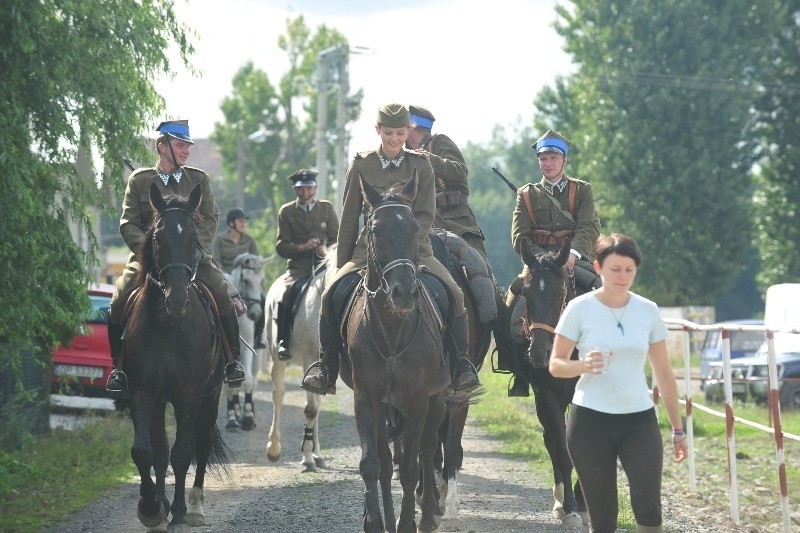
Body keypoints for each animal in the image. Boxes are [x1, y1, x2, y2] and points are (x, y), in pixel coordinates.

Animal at [124, 182, 231, 528]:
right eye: (158, 238)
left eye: (194, 239)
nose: (178, 299)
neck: (168, 325)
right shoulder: (142, 391)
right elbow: (144, 451)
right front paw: (151, 507)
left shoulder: (191, 392)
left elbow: (183, 452)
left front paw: (181, 512)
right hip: (161, 400)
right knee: (159, 449)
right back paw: (162, 502)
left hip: (211, 395)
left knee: (202, 443)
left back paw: (194, 507)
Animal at [264, 247, 336, 472]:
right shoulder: (309, 358)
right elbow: (310, 409)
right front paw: (307, 458)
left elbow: (315, 407)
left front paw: (312, 455)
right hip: (276, 359)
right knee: (278, 395)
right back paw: (274, 449)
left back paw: (318, 454)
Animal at [338, 172, 450, 528]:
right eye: (375, 230)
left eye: (414, 228)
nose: (403, 293)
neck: (391, 328)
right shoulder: (368, 397)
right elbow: (373, 464)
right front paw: (375, 521)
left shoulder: (417, 399)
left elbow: (412, 466)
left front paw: (407, 524)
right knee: (388, 462)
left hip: (435, 399)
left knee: (426, 450)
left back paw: (426, 516)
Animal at [512, 239, 588, 524]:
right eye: (526, 294)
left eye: (559, 294)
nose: (538, 353)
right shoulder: (547, 396)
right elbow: (562, 450)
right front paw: (569, 506)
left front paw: (581, 502)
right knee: (552, 442)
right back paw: (559, 501)